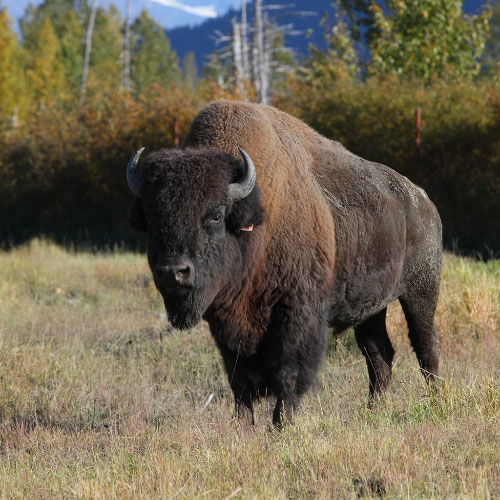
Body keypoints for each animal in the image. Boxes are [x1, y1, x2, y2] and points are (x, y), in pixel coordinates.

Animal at [126, 100, 442, 426]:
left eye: (215, 215)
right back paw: (373, 410)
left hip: (421, 290)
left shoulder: (296, 314)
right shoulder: (226, 321)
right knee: (379, 353)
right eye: (150, 218)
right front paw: (243, 425)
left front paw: (282, 424)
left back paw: (436, 402)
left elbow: (288, 373)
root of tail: (422, 200)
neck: (256, 218)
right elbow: (238, 378)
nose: (173, 273)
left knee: (425, 345)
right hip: (372, 307)